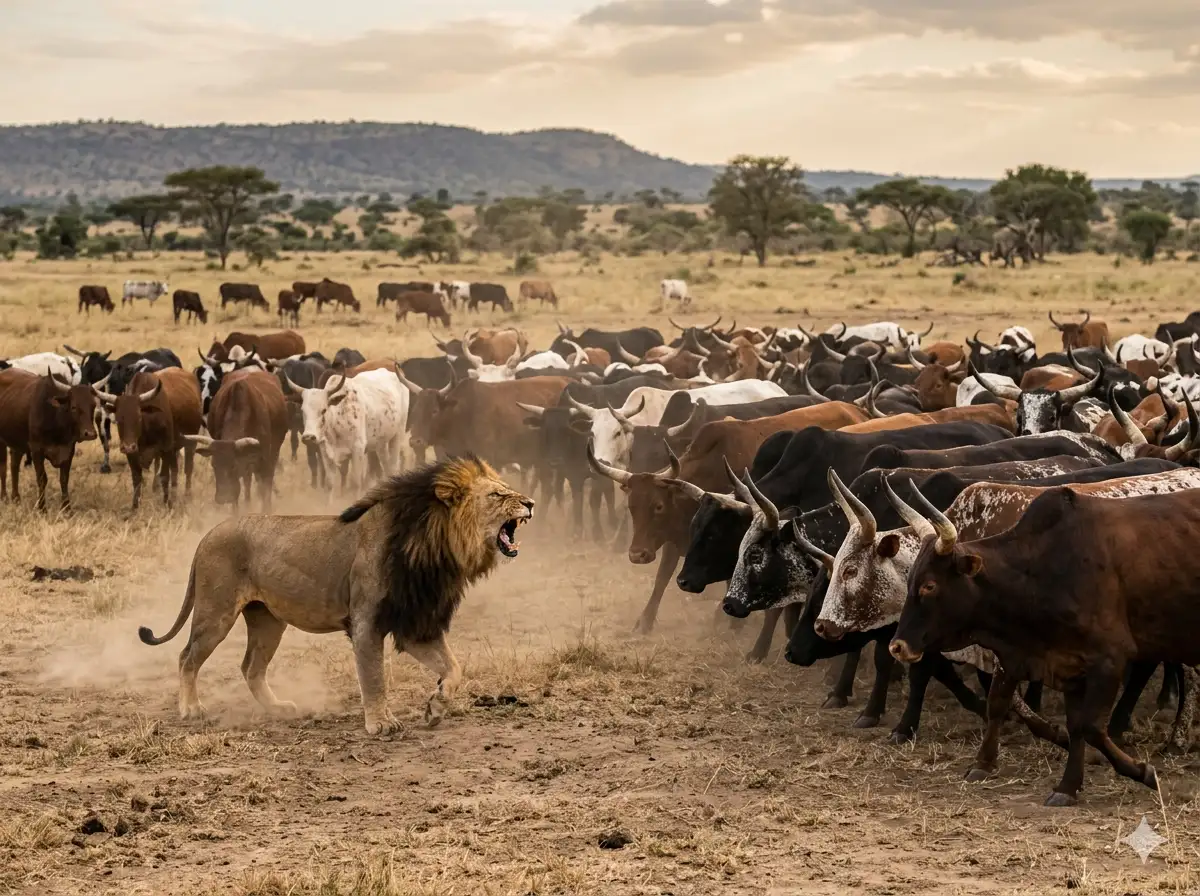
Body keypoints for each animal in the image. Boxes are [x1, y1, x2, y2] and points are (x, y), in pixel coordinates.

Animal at [138, 455, 534, 733]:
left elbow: (454, 668)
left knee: (250, 667)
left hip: (268, 620)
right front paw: (381, 723)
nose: (530, 503)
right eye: (497, 494)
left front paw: (435, 707)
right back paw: (191, 709)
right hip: (216, 611)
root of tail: (208, 534)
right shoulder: (367, 622)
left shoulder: (415, 624)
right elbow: (374, 676)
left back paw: (277, 708)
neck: (435, 545)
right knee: (187, 656)